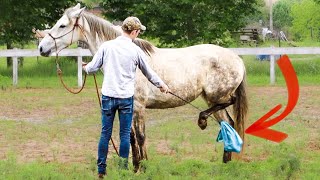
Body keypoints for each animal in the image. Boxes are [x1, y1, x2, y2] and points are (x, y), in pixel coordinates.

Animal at [37, 3, 248, 172]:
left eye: (62, 25)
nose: (41, 48)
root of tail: (237, 59)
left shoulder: (138, 106)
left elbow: (140, 136)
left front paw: (144, 167)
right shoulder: (129, 106)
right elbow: (130, 137)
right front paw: (136, 166)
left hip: (215, 96)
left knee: (229, 104)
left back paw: (202, 121)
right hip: (210, 99)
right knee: (228, 123)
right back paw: (225, 163)